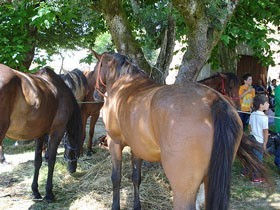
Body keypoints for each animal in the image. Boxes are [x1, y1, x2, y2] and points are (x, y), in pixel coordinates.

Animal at [0, 64, 82, 202]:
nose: (73, 169)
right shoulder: (57, 131)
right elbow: (51, 160)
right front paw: (49, 194)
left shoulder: (40, 134)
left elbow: (37, 161)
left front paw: (35, 192)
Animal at [91, 51, 243, 209]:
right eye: (230, 86)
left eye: (95, 68)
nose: (95, 95)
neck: (124, 85)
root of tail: (212, 100)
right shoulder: (137, 147)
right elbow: (136, 178)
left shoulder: (114, 142)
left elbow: (116, 178)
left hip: (183, 190)